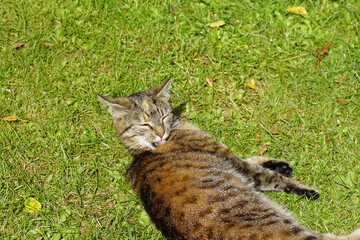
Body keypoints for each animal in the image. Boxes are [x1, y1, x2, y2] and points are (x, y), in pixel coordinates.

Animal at [97, 77, 358, 240]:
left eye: (163, 116)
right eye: (145, 124)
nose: (161, 133)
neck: (141, 152)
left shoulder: (234, 159)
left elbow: (254, 160)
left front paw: (281, 165)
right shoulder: (235, 163)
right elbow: (270, 176)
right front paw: (302, 187)